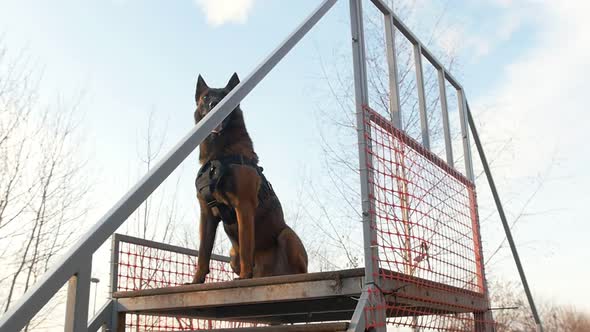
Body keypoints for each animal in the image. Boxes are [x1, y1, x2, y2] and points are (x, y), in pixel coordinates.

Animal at [191, 72, 310, 282]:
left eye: (226, 95)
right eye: (206, 97)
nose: (215, 104)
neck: (220, 154)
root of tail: (269, 274)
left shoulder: (244, 205)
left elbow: (246, 247)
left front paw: (245, 276)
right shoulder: (206, 213)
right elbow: (203, 253)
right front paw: (196, 281)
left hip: (287, 235)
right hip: (232, 255)